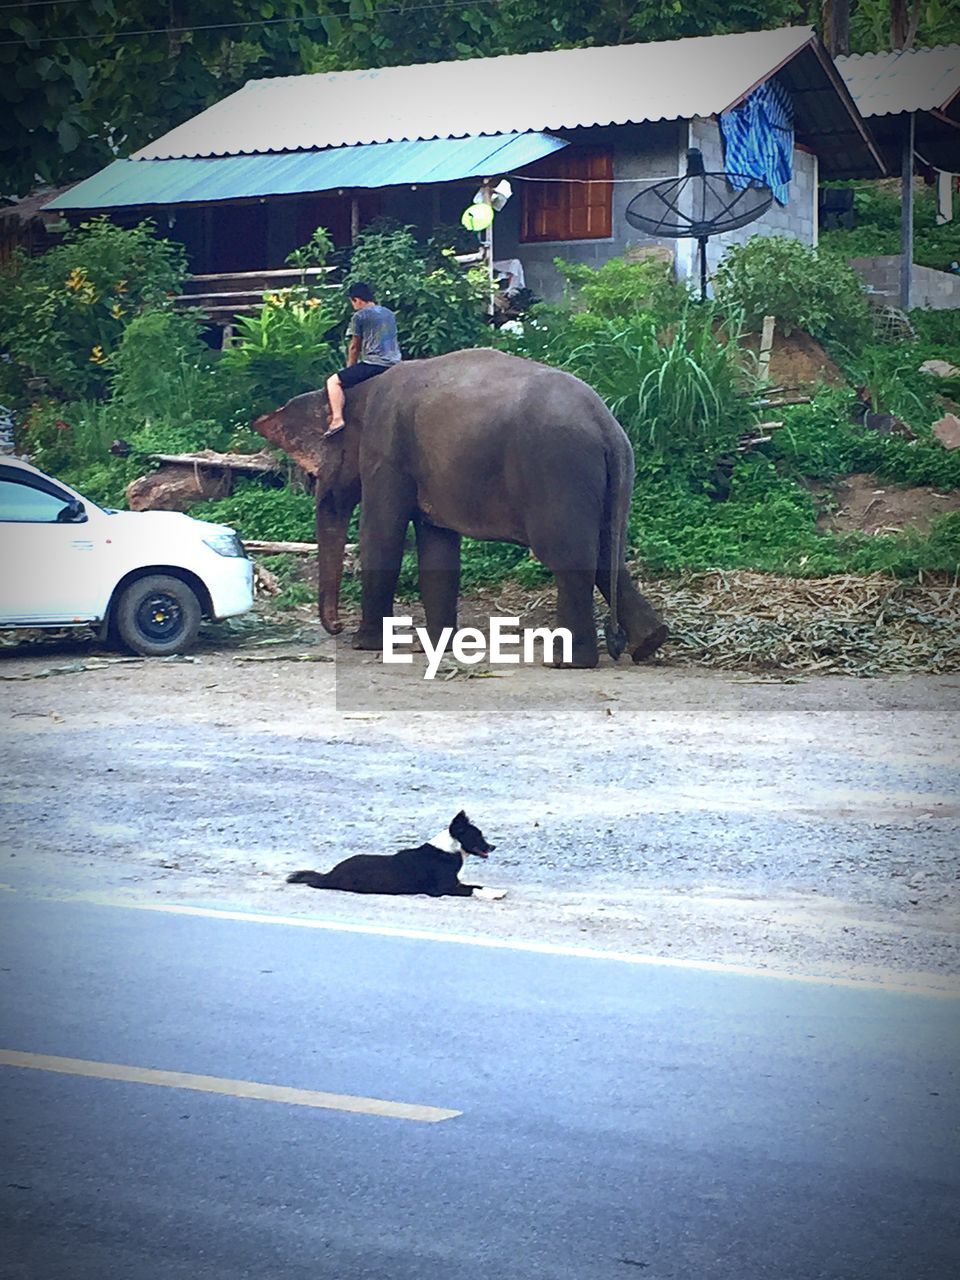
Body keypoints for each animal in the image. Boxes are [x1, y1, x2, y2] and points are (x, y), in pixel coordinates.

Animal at [256, 350, 670, 670]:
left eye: (314, 473)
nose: (337, 627)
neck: (362, 391)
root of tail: (606, 425)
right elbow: (438, 546)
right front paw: (437, 645)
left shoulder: (385, 451)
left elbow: (382, 536)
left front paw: (366, 644)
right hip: (605, 480)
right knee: (606, 554)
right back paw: (649, 643)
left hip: (558, 470)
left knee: (568, 557)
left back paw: (567, 662)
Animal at [285, 808, 506, 901]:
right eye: (478, 836)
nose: (493, 846)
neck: (450, 849)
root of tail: (329, 874)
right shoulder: (442, 888)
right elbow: (472, 889)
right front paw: (494, 894)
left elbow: (476, 884)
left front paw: (497, 890)